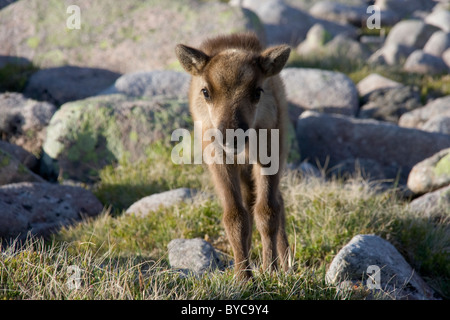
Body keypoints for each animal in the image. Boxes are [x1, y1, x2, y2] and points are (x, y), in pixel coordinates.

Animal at [176, 31, 292, 278]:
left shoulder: (269, 156)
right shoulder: (220, 161)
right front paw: (243, 277)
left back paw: (287, 263)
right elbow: (235, 216)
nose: (231, 136)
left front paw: (271, 270)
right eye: (206, 91)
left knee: (276, 203)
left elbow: (267, 212)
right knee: (249, 205)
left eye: (257, 91)